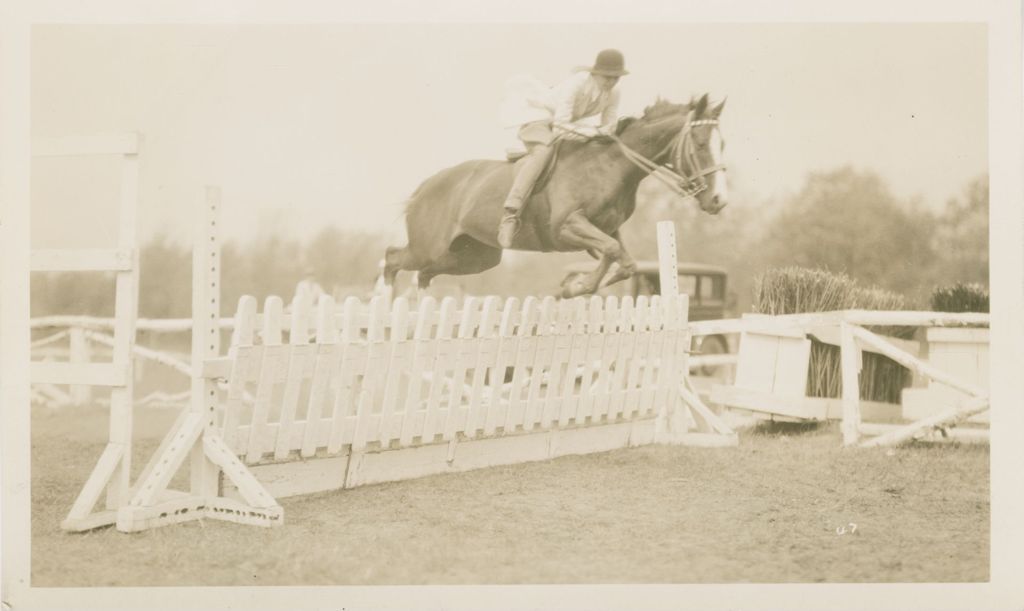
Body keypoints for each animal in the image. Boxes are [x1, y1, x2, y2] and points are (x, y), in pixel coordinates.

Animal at [385, 92, 729, 298]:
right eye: (701, 145)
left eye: (722, 144)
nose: (718, 201)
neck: (610, 166)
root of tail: (423, 188)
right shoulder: (567, 227)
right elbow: (611, 252)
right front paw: (576, 286)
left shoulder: (606, 229)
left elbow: (621, 259)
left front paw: (577, 287)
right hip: (429, 248)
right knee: (393, 258)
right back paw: (386, 301)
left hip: (473, 257)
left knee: (425, 273)